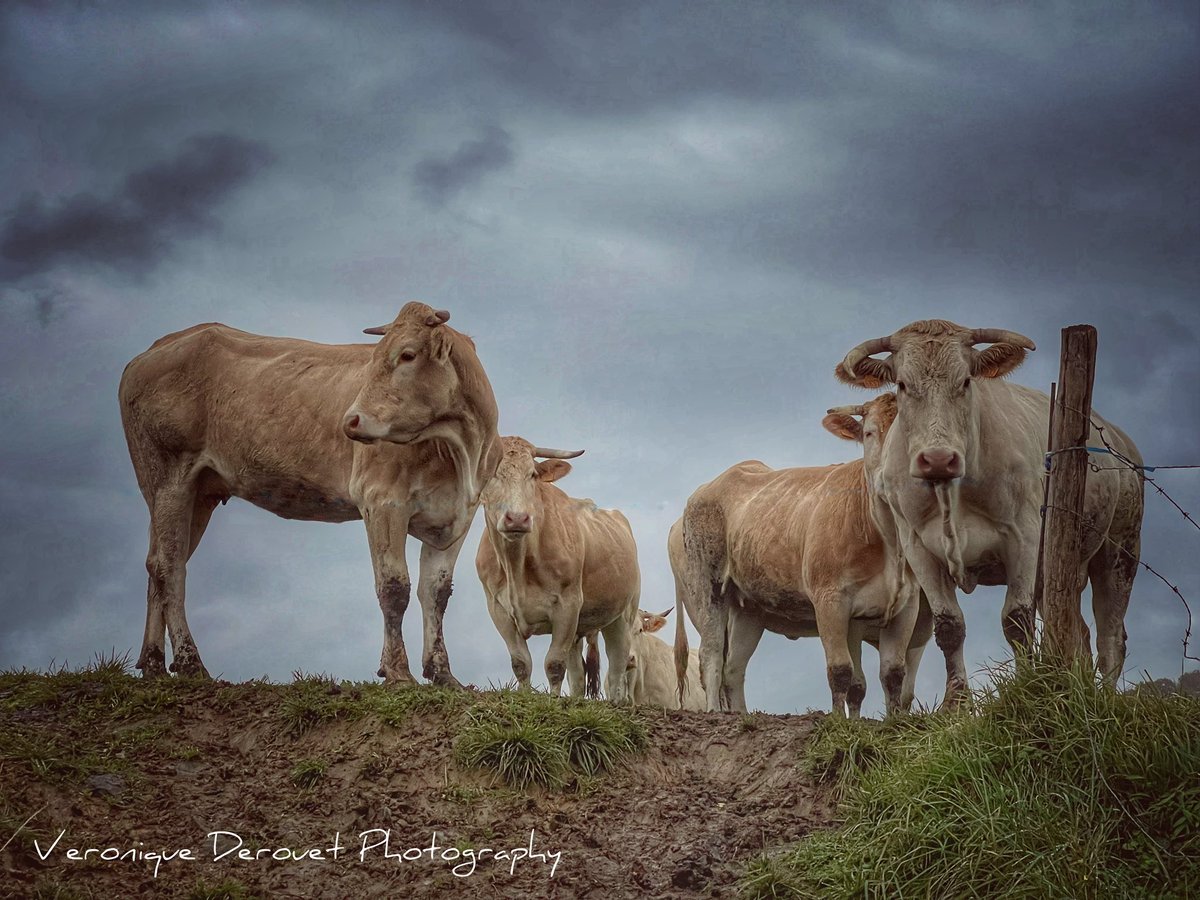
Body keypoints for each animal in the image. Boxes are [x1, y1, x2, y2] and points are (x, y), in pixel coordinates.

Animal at [118, 301, 499, 683]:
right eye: (374, 356)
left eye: (408, 354)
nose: (351, 420)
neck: (459, 452)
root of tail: (154, 350)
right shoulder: (382, 501)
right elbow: (394, 588)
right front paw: (398, 672)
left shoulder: (457, 517)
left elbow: (436, 594)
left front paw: (443, 673)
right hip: (168, 478)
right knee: (170, 567)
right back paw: (190, 664)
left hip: (197, 493)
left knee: (158, 563)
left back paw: (153, 664)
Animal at [475, 437, 639, 702]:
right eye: (492, 474)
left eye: (532, 474)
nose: (517, 519)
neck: (516, 564)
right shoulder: (498, 608)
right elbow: (521, 663)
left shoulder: (568, 605)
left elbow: (554, 664)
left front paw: (553, 700)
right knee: (578, 674)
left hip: (622, 616)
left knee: (617, 665)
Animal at [680, 394, 931, 716]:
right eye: (869, 433)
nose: (890, 478)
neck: (886, 536)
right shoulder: (830, 599)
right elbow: (841, 671)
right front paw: (838, 721)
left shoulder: (906, 605)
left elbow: (892, 674)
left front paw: (893, 721)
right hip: (708, 585)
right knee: (710, 656)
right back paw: (714, 712)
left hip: (750, 605)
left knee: (734, 667)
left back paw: (741, 714)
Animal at [836, 319, 1144, 703]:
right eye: (904, 384)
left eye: (966, 381)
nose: (938, 459)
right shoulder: (918, 547)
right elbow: (950, 626)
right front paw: (956, 700)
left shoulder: (1023, 538)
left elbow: (1016, 621)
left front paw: (1030, 687)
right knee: (1078, 632)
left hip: (1120, 549)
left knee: (1110, 635)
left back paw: (1106, 696)